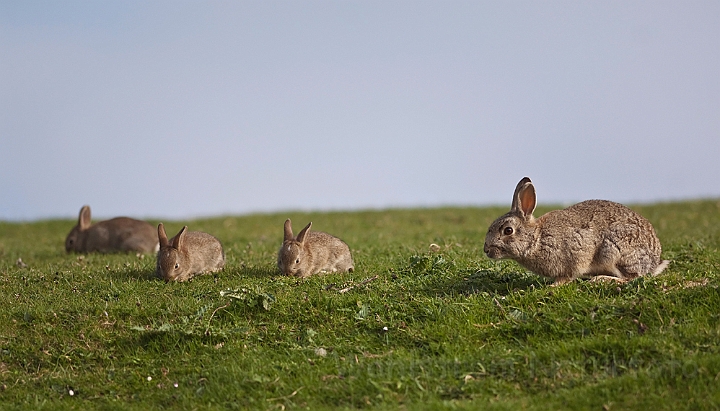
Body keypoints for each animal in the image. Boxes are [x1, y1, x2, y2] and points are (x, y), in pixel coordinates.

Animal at [480, 177, 672, 286]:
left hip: (615, 250)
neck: (536, 239)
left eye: (508, 230)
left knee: (633, 277)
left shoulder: (573, 254)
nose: (486, 250)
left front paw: (553, 286)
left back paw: (601, 280)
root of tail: (653, 263)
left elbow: (568, 275)